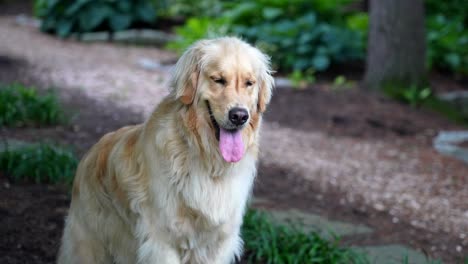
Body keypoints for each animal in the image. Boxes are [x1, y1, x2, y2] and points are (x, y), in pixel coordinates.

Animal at [57, 36, 274, 262]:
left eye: (249, 83)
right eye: (218, 79)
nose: (239, 116)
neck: (208, 160)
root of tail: (90, 152)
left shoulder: (218, 243)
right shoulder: (162, 241)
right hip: (88, 243)